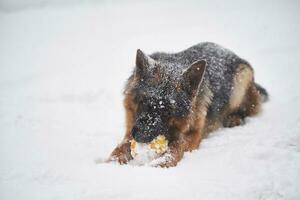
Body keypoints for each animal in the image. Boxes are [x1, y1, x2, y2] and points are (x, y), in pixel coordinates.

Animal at [107, 42, 268, 167]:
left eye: (168, 111)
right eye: (143, 102)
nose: (141, 136)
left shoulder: (193, 135)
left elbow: (176, 146)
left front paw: (163, 162)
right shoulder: (131, 129)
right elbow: (122, 145)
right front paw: (113, 161)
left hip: (240, 80)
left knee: (249, 108)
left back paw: (234, 118)